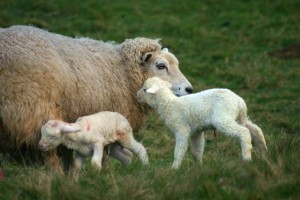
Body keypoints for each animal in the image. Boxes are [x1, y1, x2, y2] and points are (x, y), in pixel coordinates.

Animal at [0, 25, 192, 172]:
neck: (123, 71)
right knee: (48, 153)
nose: (189, 89)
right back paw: (57, 177)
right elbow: (103, 156)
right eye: (161, 66)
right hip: (34, 110)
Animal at [137, 76, 268, 169]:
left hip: (223, 117)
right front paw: (199, 167)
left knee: (244, 132)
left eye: (144, 89)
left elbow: (179, 150)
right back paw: (264, 153)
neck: (168, 103)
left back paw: (247, 158)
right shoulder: (196, 131)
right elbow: (197, 150)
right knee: (256, 129)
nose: (136, 96)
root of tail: (239, 101)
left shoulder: (181, 129)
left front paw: (174, 168)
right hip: (240, 117)